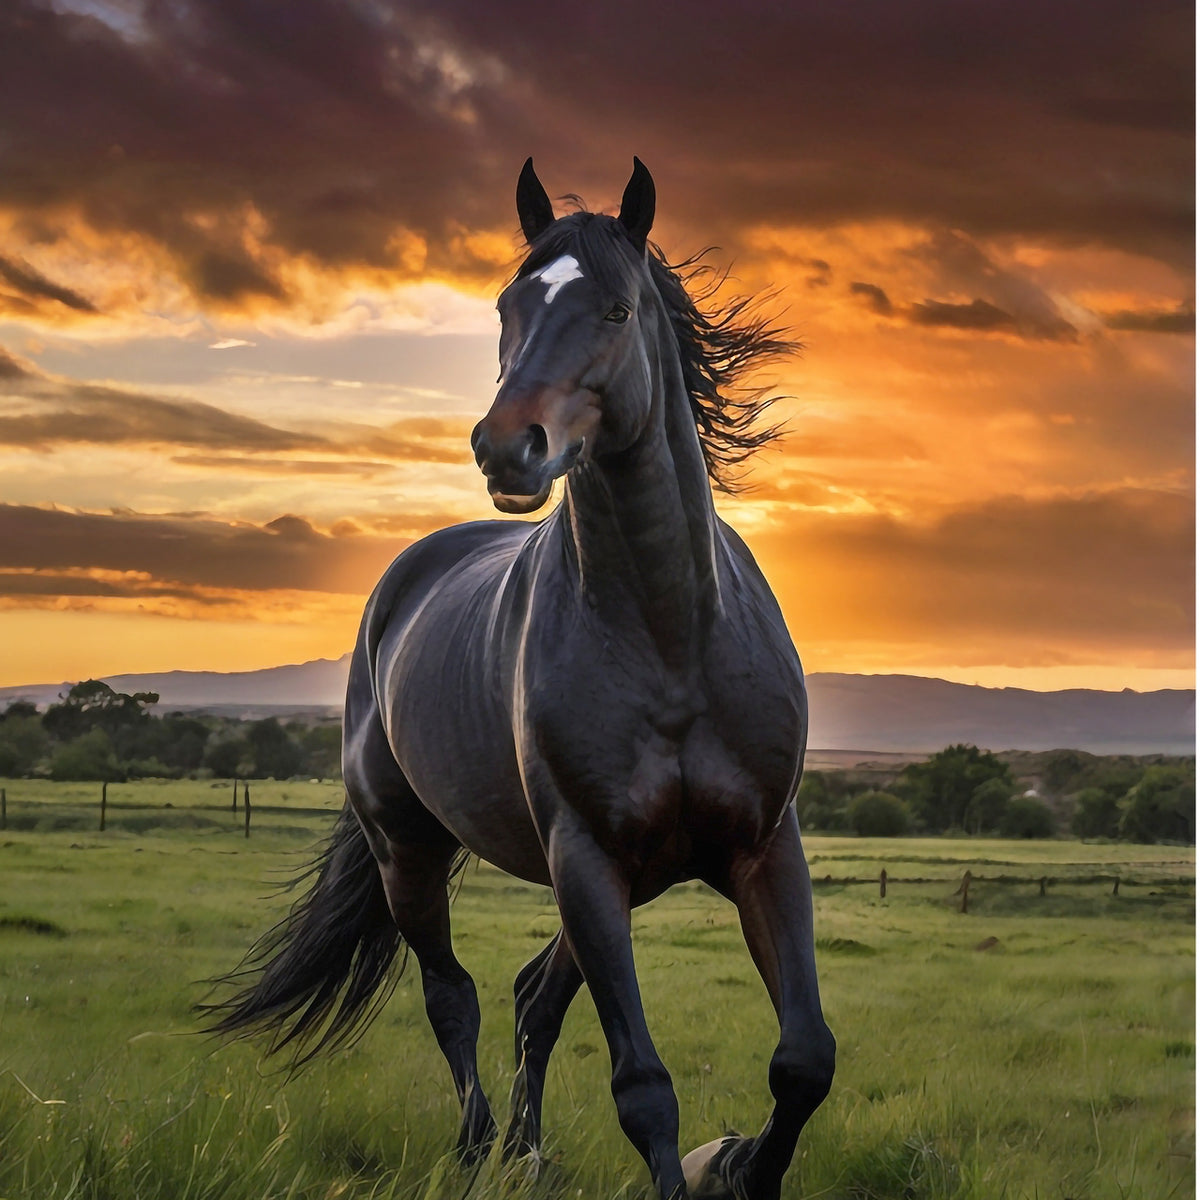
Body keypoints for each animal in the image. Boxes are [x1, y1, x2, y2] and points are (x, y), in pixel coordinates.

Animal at [201, 159, 835, 1200]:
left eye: (617, 309)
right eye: (508, 305)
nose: (508, 446)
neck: (672, 637)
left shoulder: (762, 848)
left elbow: (804, 1061)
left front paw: (742, 1165)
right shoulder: (584, 857)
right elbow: (643, 1089)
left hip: (622, 879)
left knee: (534, 996)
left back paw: (526, 1152)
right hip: (413, 853)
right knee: (452, 997)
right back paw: (475, 1148)